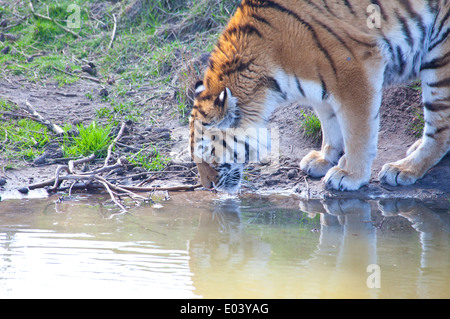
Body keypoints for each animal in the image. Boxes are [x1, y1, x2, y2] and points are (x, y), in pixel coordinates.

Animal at [188, 0, 448, 194]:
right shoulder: (322, 86)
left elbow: (358, 133)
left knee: (440, 130)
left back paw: (403, 168)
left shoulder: (355, 71)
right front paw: (324, 159)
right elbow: (330, 124)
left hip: (440, 54)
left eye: (210, 155)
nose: (207, 186)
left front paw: (350, 174)